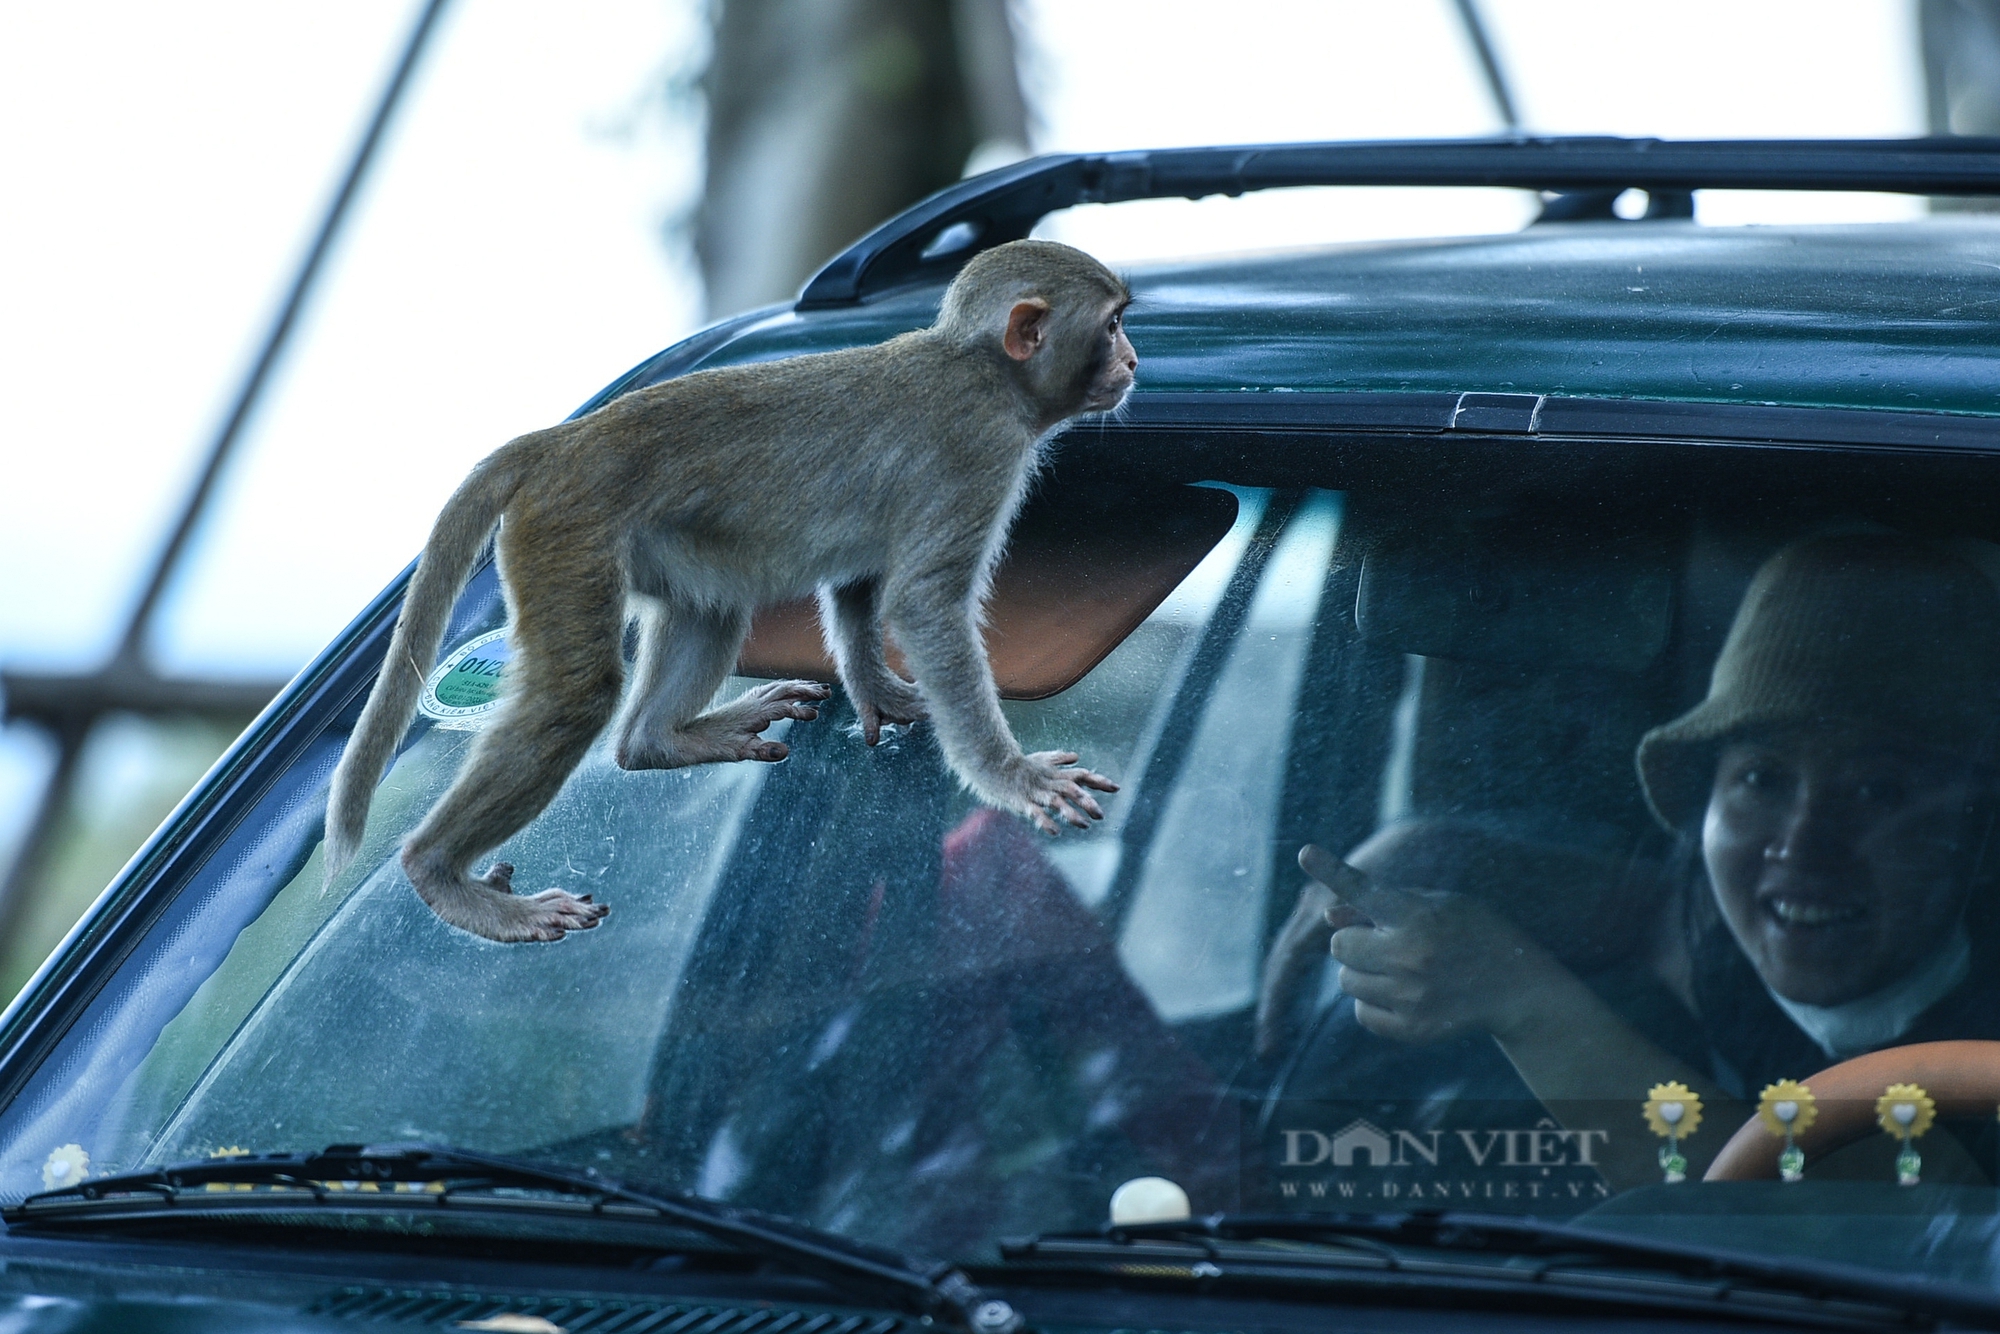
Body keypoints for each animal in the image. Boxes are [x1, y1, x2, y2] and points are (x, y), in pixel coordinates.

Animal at [328, 243, 1144, 948]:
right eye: (1111, 324)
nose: (1133, 361)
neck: (982, 370)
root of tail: (563, 442)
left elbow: (861, 583)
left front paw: (879, 692)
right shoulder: (977, 454)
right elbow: (924, 604)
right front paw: (1012, 777)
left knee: (707, 614)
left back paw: (660, 740)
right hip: (566, 533)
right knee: (575, 696)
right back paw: (441, 875)